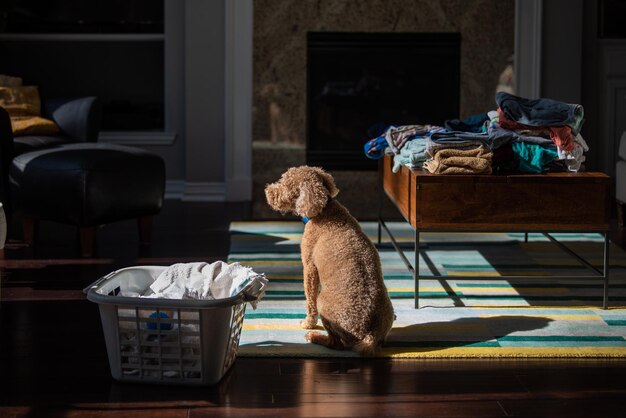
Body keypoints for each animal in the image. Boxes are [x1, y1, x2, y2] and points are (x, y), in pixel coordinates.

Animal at [262, 165, 390, 354]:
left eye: (285, 183)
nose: (267, 191)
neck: (325, 210)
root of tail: (368, 335)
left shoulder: (309, 267)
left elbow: (309, 300)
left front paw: (307, 323)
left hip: (323, 302)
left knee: (335, 343)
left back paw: (314, 337)